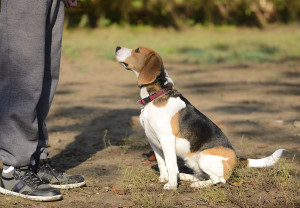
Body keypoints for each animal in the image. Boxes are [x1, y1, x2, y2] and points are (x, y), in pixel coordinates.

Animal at [114, 46, 284, 189]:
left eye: (137, 50)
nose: (117, 47)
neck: (155, 96)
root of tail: (237, 159)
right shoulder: (153, 139)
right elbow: (162, 162)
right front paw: (164, 178)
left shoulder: (166, 139)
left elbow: (171, 165)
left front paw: (171, 185)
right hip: (193, 161)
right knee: (202, 175)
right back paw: (185, 177)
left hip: (204, 157)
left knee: (219, 180)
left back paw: (196, 185)